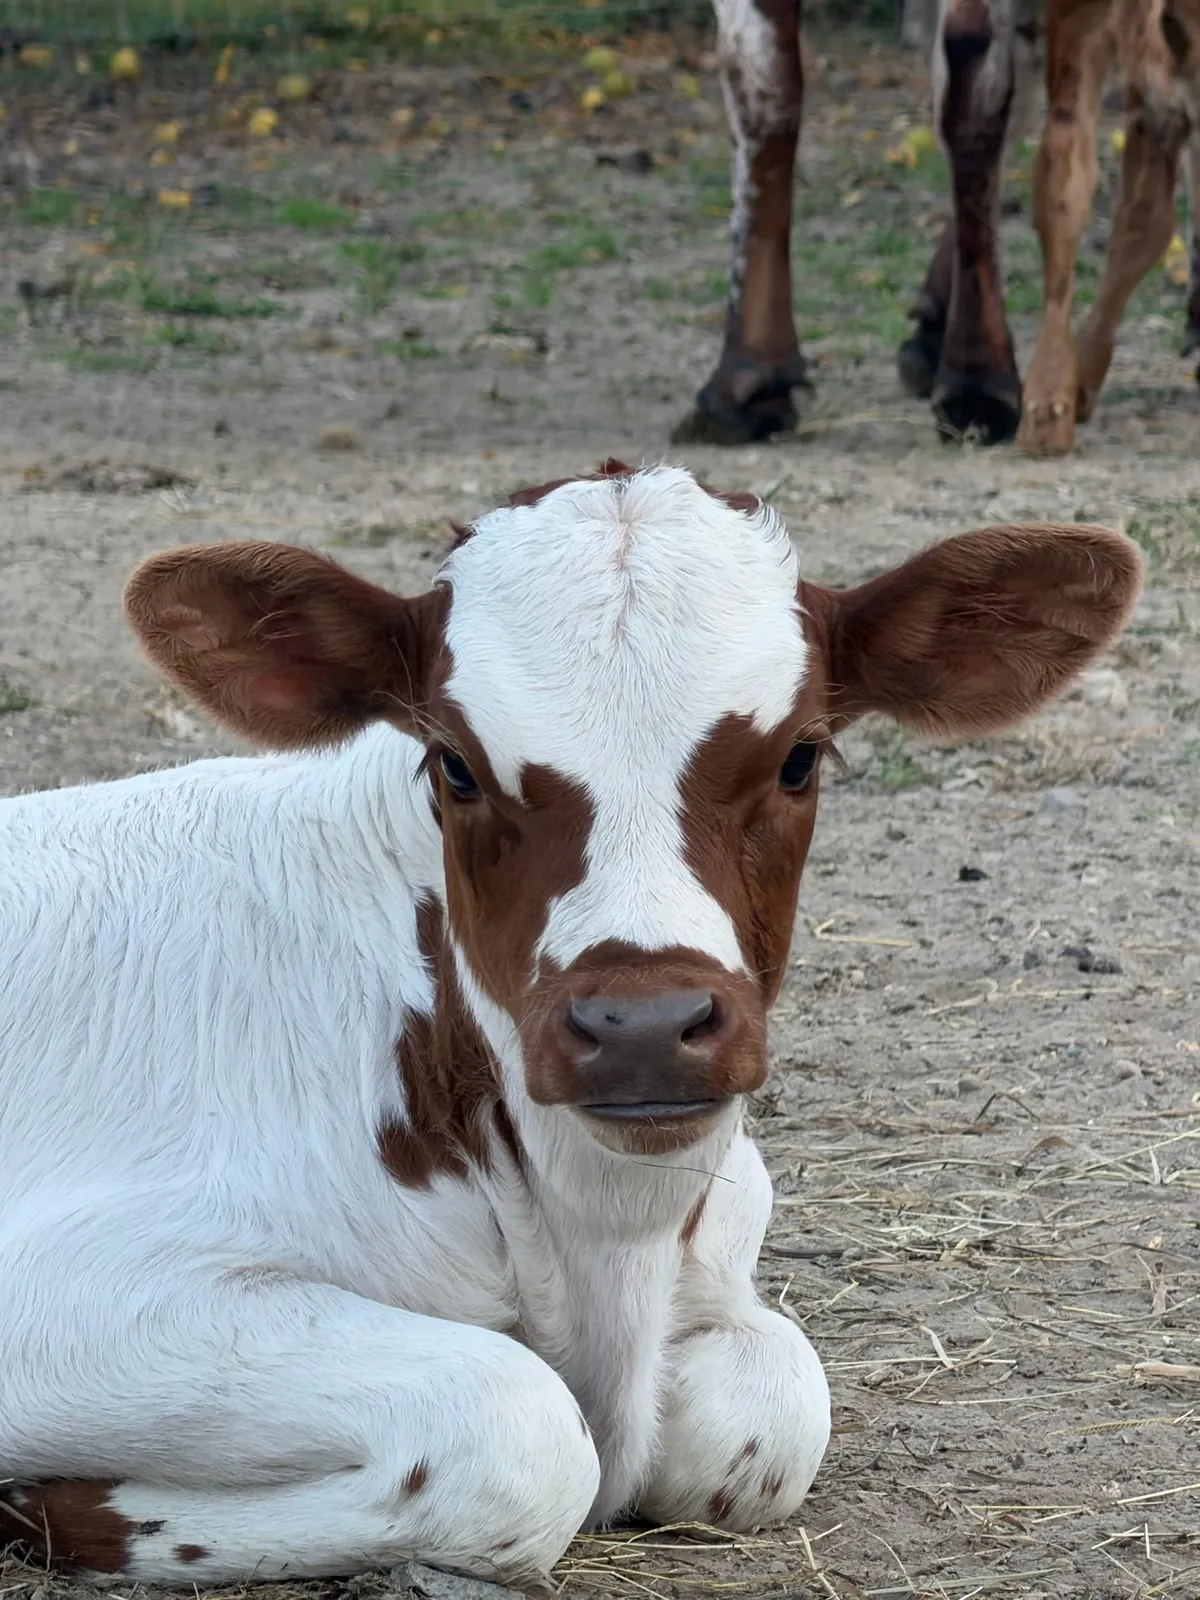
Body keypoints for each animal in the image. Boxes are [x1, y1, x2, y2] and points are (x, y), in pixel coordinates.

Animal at [0, 462, 1141, 1590]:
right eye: (455, 764)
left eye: (800, 756)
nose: (642, 1025)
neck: (604, 1245)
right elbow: (524, 1433)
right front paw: (55, 1504)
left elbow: (770, 1414)